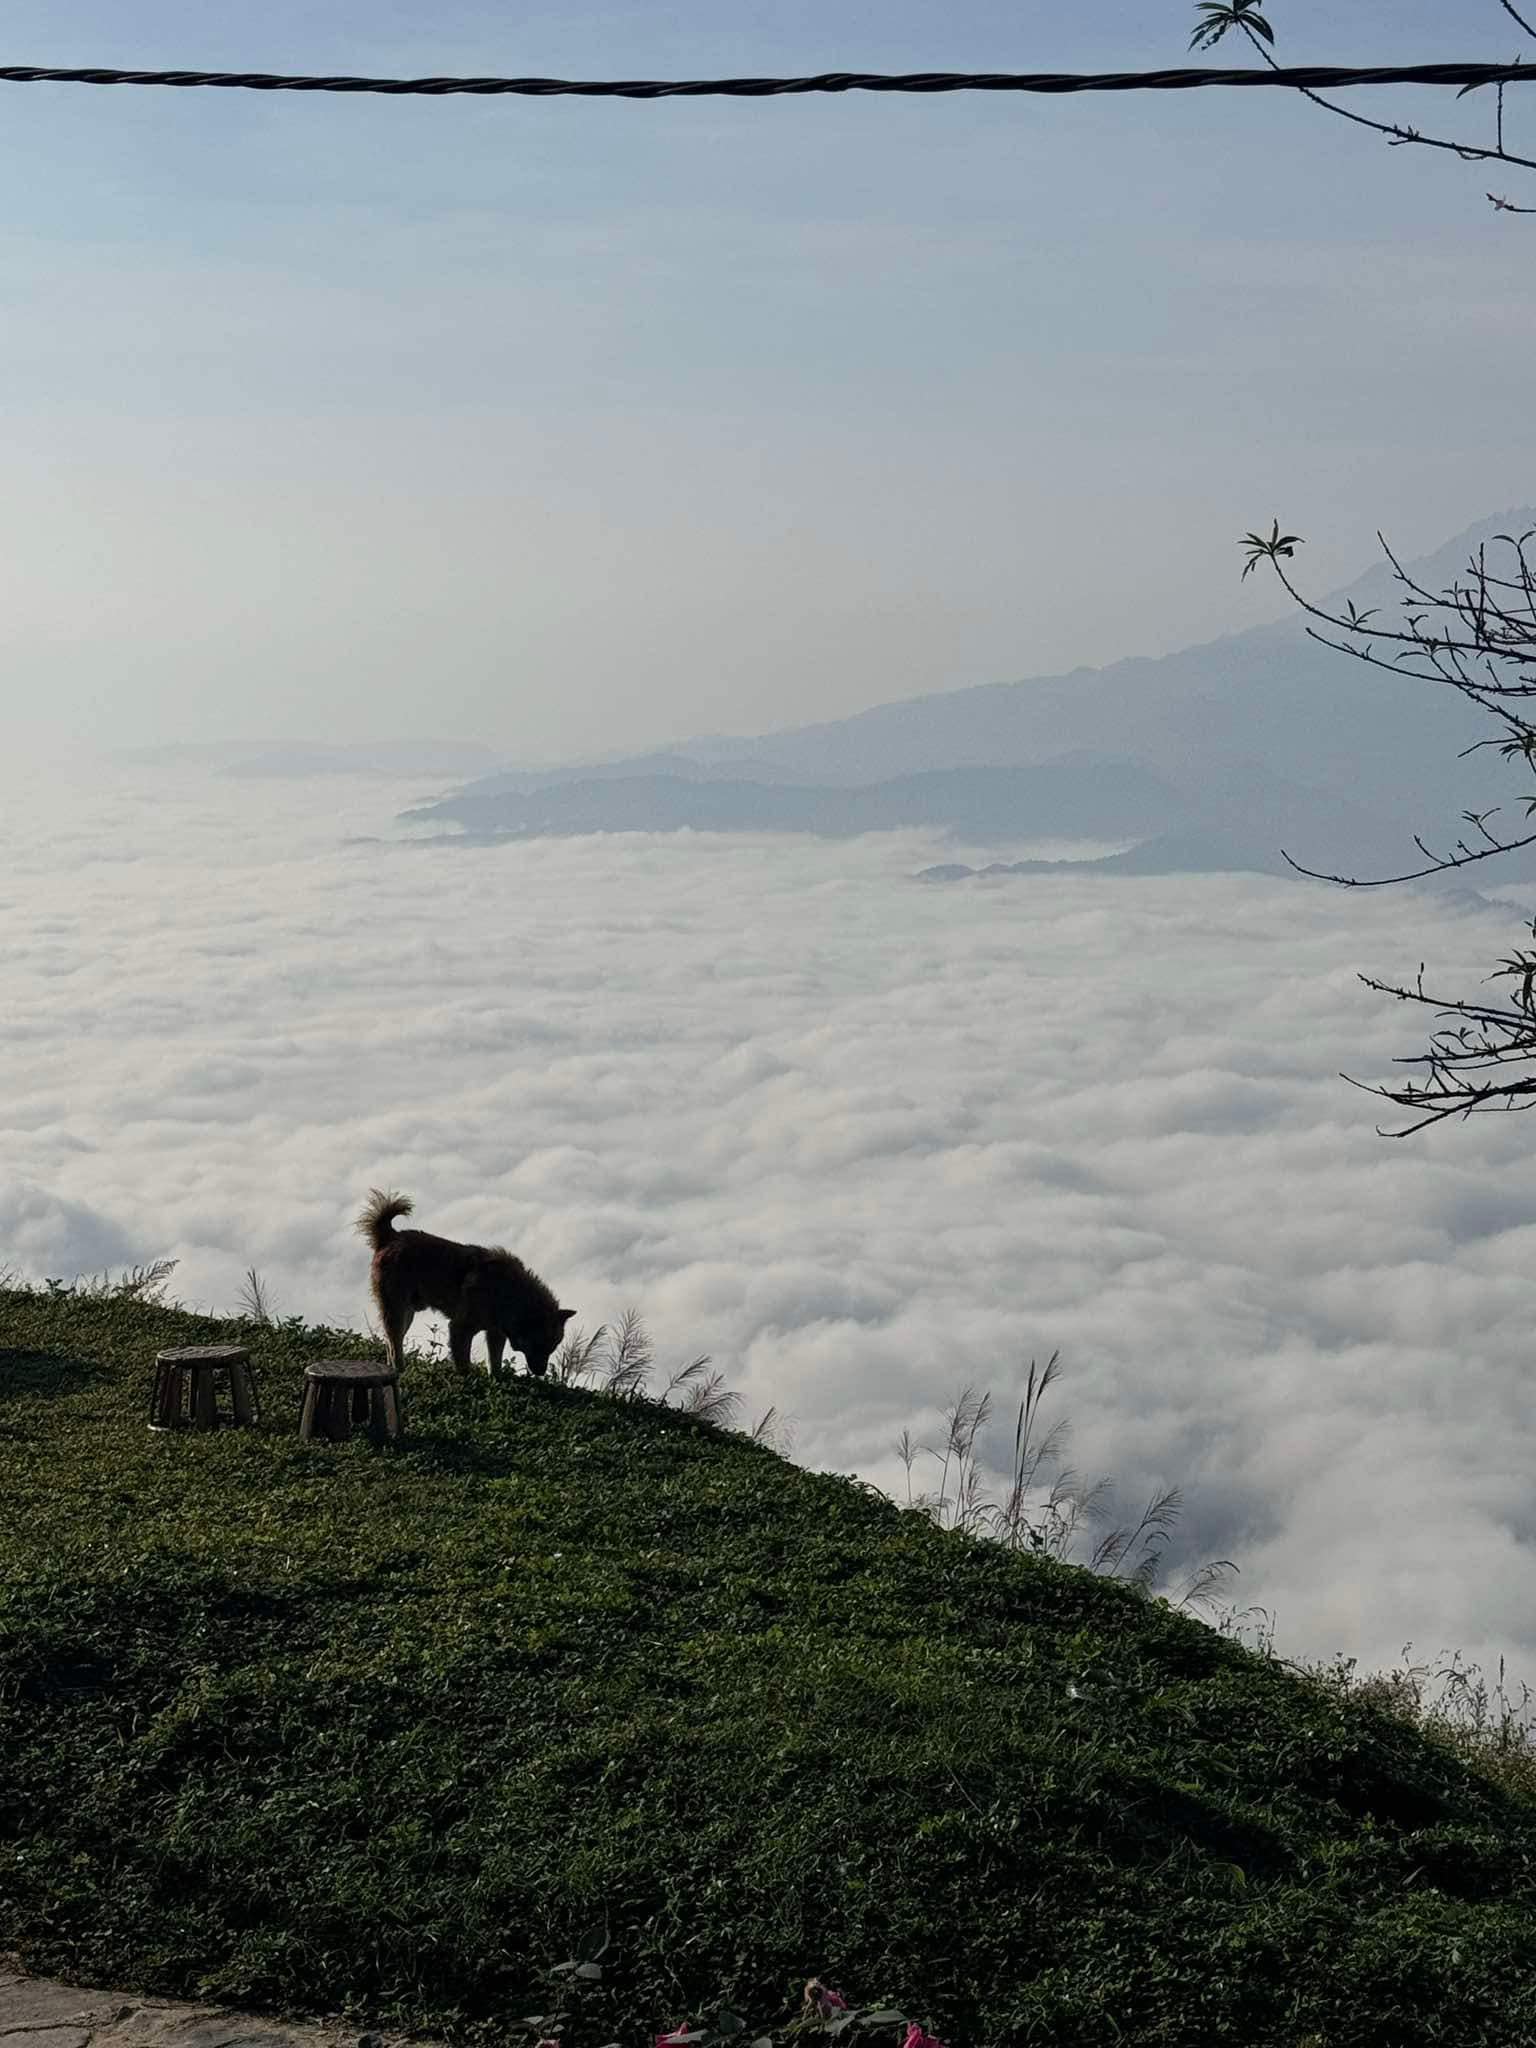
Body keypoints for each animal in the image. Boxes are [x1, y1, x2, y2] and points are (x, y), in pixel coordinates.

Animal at [360, 1196, 577, 1384]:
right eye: (539, 1344)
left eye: (553, 1346)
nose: (540, 1372)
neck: (508, 1294)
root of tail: (391, 1237)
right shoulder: (460, 1328)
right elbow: (463, 1362)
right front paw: (468, 1381)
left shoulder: (495, 1333)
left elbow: (495, 1362)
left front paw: (497, 1380)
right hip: (396, 1311)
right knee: (394, 1345)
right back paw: (400, 1371)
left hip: (407, 1313)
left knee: (390, 1343)